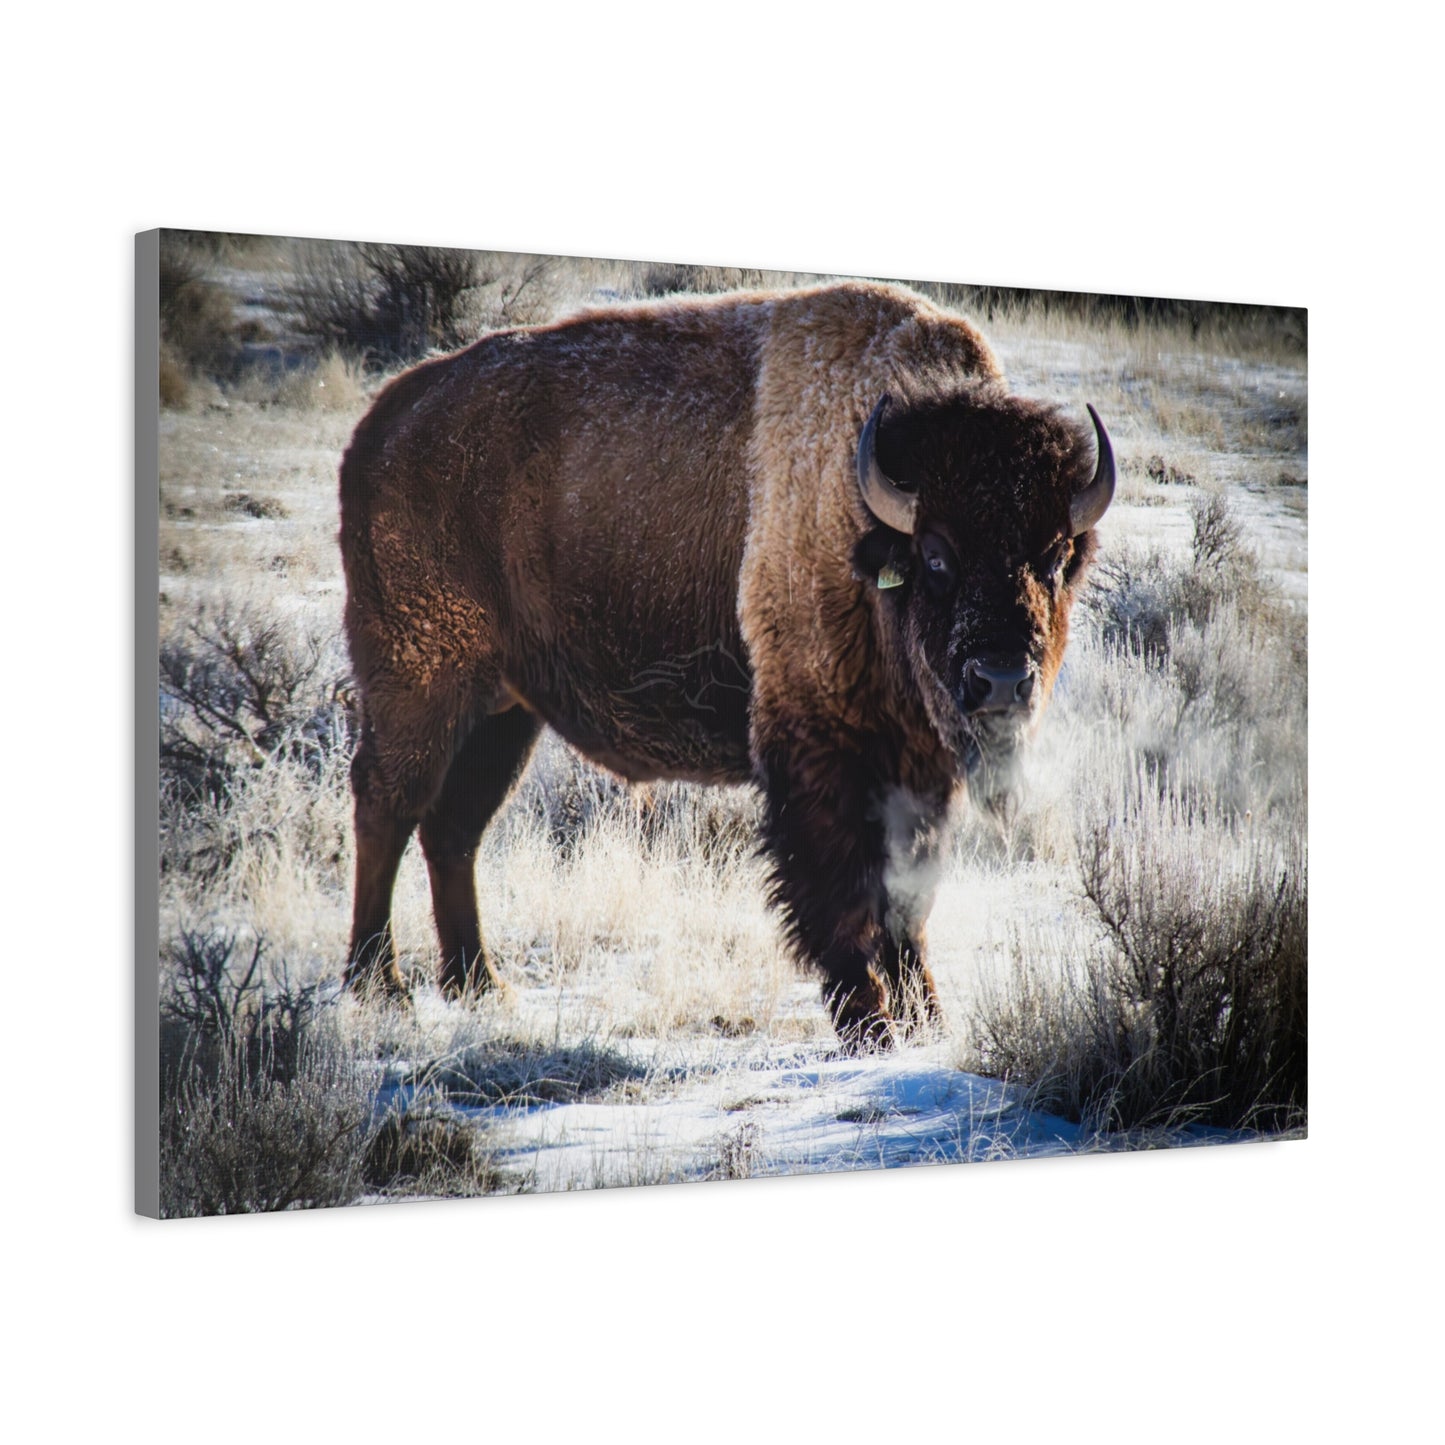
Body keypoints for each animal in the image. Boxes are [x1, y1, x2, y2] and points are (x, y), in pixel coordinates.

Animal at [338, 280, 1113, 1047]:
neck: (865, 521)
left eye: (1053, 557)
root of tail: (381, 423)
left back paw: (478, 984)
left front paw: (927, 1019)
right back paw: (380, 985)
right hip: (419, 683)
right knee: (388, 806)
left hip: (504, 711)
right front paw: (870, 1025)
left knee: (454, 828)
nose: (1001, 680)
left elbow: (908, 897)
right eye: (935, 555)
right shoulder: (821, 750)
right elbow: (842, 892)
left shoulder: (918, 768)